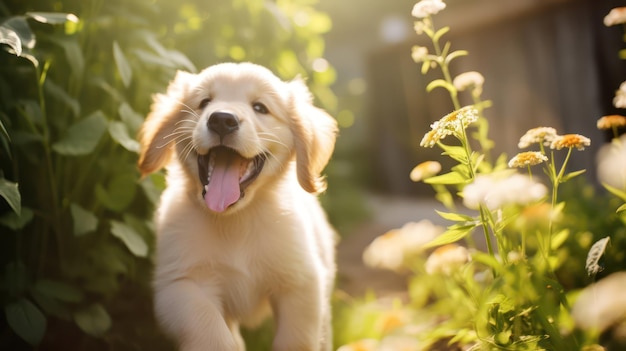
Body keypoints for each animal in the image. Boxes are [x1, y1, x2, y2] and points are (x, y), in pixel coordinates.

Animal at [138, 63, 336, 351]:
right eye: (204, 102)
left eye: (260, 107)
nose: (221, 119)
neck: (235, 219)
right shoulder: (181, 285)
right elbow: (211, 331)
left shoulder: (301, 283)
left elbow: (296, 338)